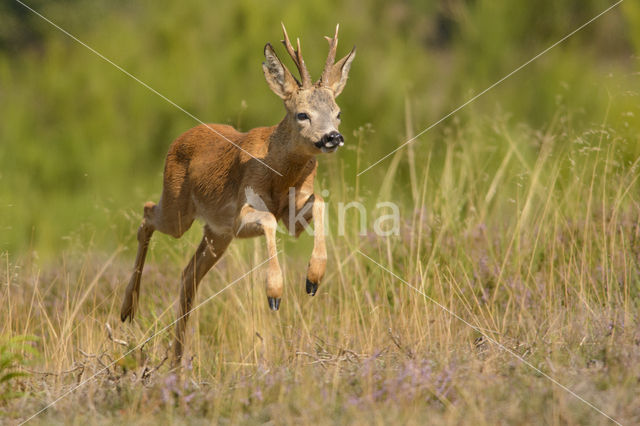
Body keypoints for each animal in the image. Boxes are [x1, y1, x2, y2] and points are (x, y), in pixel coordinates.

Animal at [119, 25, 356, 362]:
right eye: (302, 114)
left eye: (338, 112)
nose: (332, 137)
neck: (281, 173)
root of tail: (179, 138)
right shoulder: (242, 211)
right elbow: (268, 221)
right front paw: (274, 294)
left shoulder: (291, 216)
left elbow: (320, 202)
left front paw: (313, 279)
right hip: (179, 210)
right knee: (148, 212)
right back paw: (128, 309)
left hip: (217, 234)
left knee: (188, 275)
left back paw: (176, 360)